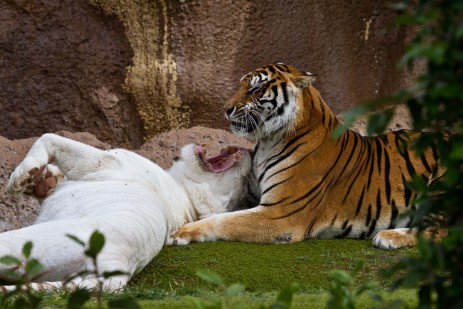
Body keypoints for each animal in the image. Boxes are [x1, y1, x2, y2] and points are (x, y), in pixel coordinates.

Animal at [173, 62, 446, 248]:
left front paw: (182, 232)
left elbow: (225, 220)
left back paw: (389, 236)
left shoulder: (280, 214)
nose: (226, 109)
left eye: (256, 87)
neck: (268, 141)